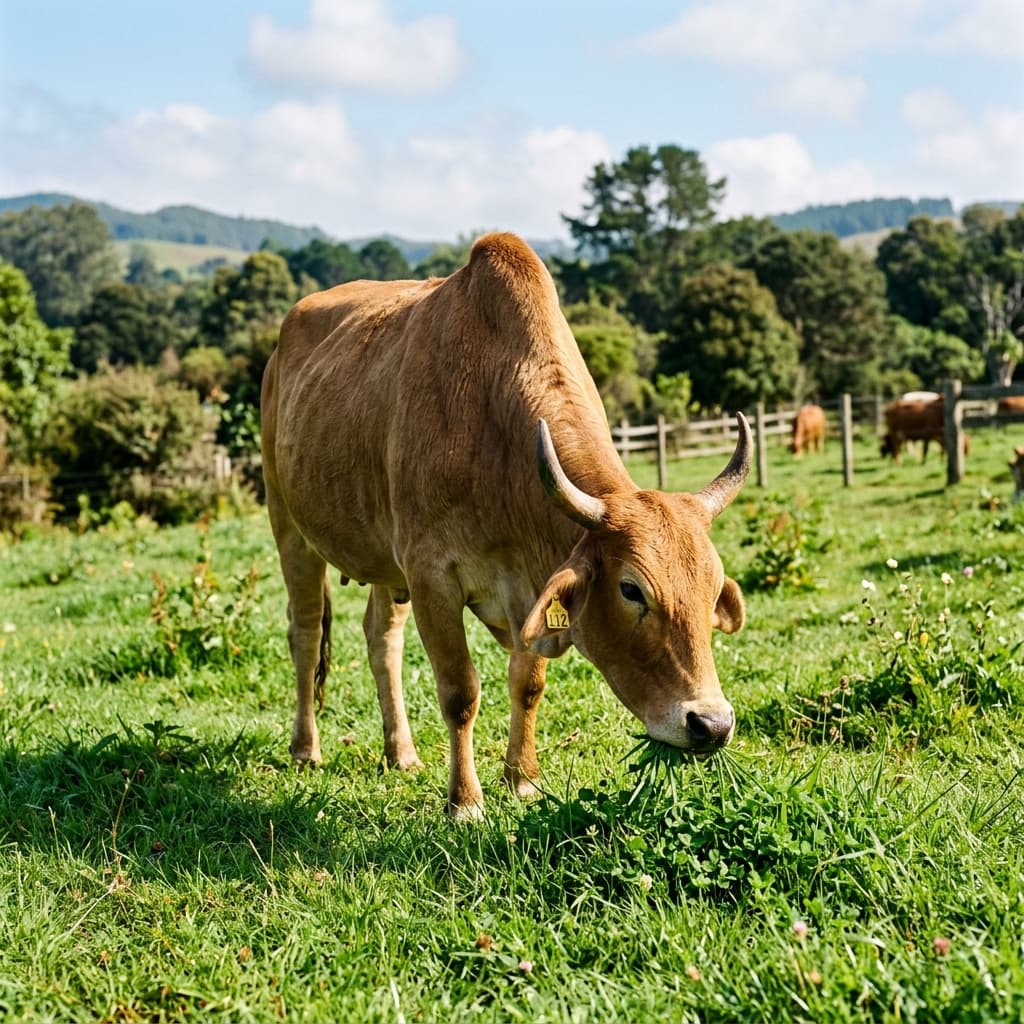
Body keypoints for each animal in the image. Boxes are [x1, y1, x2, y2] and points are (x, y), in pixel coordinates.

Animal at [261, 232, 751, 820]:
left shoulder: (525, 588)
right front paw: (465, 801)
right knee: (306, 633)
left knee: (381, 640)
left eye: (711, 591)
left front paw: (523, 778)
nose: (711, 724)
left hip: (384, 562)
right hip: (290, 528)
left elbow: (528, 683)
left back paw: (400, 753)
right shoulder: (431, 577)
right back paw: (306, 748)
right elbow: (460, 692)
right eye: (632, 590)